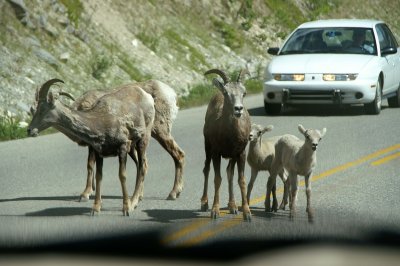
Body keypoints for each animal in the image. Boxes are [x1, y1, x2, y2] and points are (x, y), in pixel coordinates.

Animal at [202, 68, 252, 220]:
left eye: (244, 93)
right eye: (226, 92)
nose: (238, 109)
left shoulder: (240, 154)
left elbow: (241, 180)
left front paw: (247, 213)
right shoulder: (216, 153)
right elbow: (217, 179)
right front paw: (215, 211)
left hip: (232, 157)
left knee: (230, 172)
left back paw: (233, 206)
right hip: (207, 148)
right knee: (206, 170)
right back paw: (204, 203)